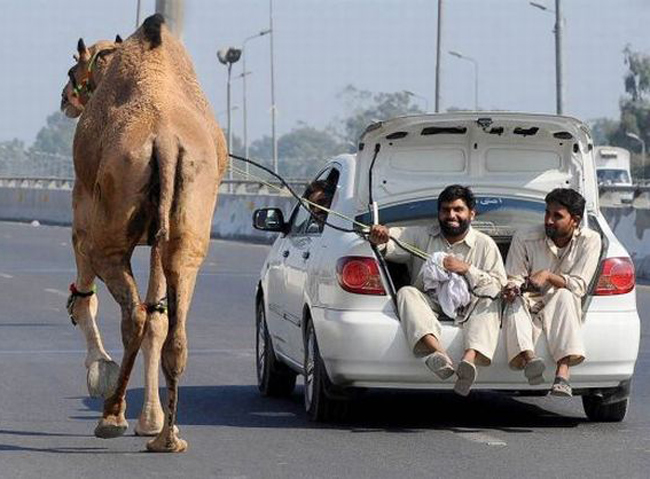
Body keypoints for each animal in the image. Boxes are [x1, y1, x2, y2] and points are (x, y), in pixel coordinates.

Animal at [60, 13, 228, 452]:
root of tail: (166, 142)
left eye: (72, 70)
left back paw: (111, 416)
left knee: (132, 314)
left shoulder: (83, 212)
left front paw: (98, 371)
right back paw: (168, 437)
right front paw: (151, 421)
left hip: (110, 228)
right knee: (174, 326)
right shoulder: (158, 236)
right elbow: (159, 317)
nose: (64, 97)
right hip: (190, 225)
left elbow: (85, 299)